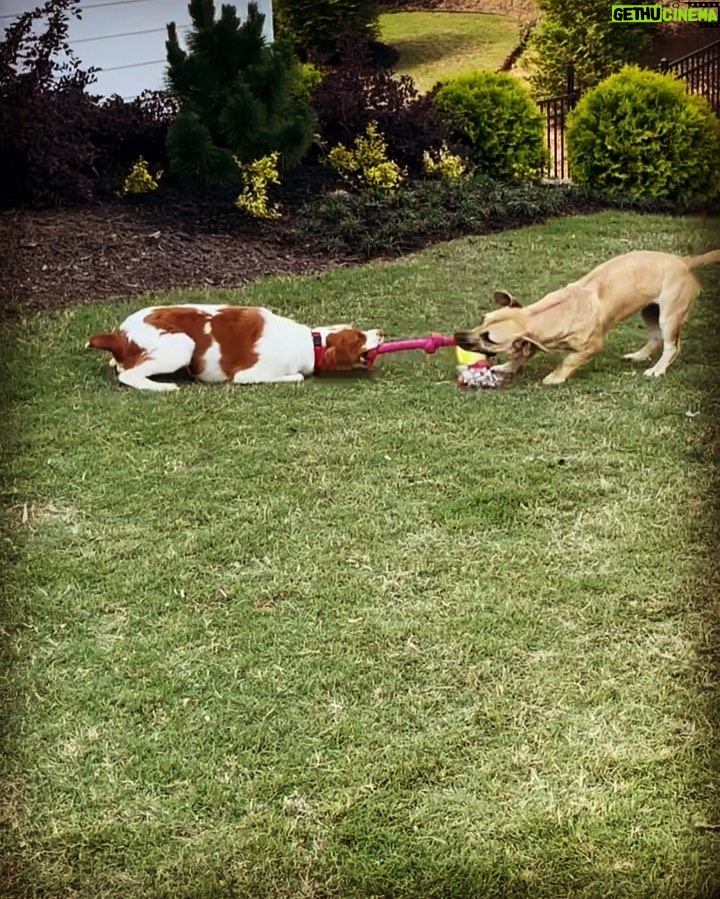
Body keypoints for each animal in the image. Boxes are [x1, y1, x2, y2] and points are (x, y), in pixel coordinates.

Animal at [86, 306, 382, 390]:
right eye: (359, 337)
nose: (380, 332)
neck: (311, 342)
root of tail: (118, 335)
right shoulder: (247, 374)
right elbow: (297, 376)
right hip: (183, 344)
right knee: (128, 375)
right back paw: (163, 387)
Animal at [456, 248, 720, 384]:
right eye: (482, 320)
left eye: (489, 338)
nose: (457, 336)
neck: (549, 313)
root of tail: (684, 261)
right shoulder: (531, 340)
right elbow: (521, 354)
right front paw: (508, 366)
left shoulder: (592, 345)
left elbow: (569, 360)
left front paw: (554, 377)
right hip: (650, 310)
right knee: (655, 337)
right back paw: (638, 356)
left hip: (669, 315)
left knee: (671, 346)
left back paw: (658, 369)